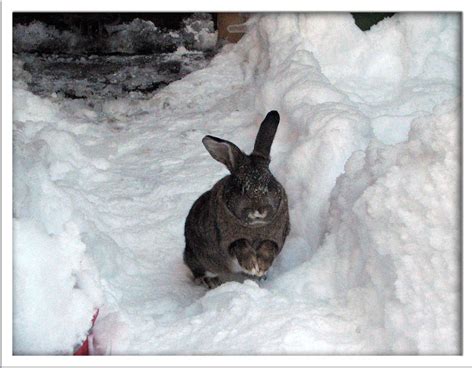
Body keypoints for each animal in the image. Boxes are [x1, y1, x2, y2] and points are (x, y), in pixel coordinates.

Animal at [184, 110, 288, 288]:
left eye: (270, 182)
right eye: (241, 187)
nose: (259, 211)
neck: (255, 226)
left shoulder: (276, 237)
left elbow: (269, 247)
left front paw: (261, 267)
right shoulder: (228, 240)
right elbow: (240, 245)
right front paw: (251, 265)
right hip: (197, 257)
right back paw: (210, 281)